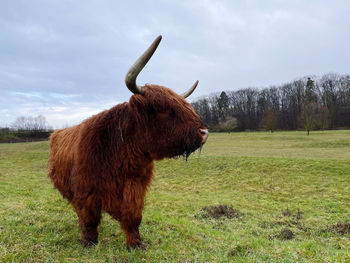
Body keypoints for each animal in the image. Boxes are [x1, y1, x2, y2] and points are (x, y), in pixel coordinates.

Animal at [48, 35, 208, 252]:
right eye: (165, 109)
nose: (204, 132)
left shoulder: (135, 187)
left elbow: (133, 217)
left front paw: (135, 244)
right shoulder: (85, 190)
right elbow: (89, 218)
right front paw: (88, 242)